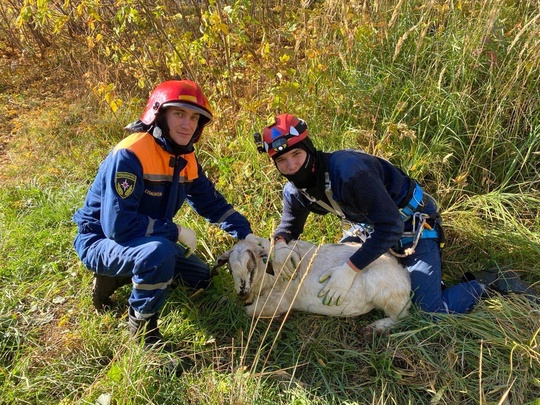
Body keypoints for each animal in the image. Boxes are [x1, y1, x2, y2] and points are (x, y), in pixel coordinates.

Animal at [214, 238, 410, 330]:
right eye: (229, 268)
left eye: (251, 266)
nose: (242, 293)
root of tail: (404, 274)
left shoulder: (277, 301)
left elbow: (249, 311)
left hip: (388, 296)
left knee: (402, 318)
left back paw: (375, 328)